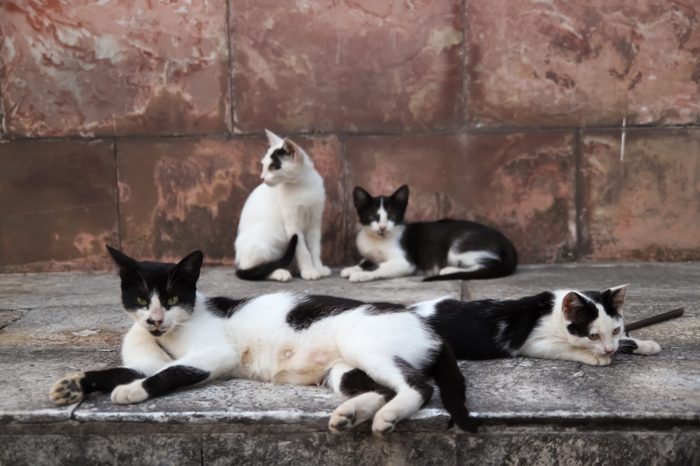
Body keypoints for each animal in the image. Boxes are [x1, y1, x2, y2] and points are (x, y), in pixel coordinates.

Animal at [47, 246, 476, 436]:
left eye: (170, 300)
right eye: (140, 300)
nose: (154, 320)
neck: (166, 338)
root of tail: (427, 327)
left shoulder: (215, 354)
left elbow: (170, 372)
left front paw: (132, 392)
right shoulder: (144, 360)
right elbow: (120, 370)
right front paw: (73, 385)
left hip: (365, 345)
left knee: (417, 386)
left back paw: (386, 418)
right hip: (340, 369)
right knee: (379, 388)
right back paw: (350, 414)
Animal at [235, 129, 330, 282]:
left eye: (273, 167)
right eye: (263, 166)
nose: (262, 178)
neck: (303, 185)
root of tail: (239, 261)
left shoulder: (315, 222)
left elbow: (315, 248)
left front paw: (318, 267)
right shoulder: (292, 225)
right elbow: (303, 250)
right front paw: (309, 270)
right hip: (264, 239)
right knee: (260, 269)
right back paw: (281, 273)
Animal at [342, 187, 516, 284]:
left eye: (392, 216)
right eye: (372, 217)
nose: (383, 228)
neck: (377, 240)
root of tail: (503, 239)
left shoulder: (405, 262)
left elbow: (380, 267)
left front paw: (360, 275)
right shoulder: (370, 253)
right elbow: (367, 260)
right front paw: (352, 268)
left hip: (458, 247)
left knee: (490, 264)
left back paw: (448, 270)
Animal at [412, 284, 660, 364]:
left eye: (616, 330)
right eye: (592, 336)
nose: (609, 350)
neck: (553, 313)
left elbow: (626, 341)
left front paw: (646, 344)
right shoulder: (532, 343)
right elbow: (566, 347)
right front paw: (595, 356)